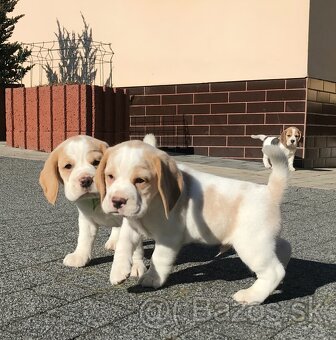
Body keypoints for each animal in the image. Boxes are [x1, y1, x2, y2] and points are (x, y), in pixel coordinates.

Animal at [39, 133, 155, 276]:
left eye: (96, 162)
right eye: (68, 166)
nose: (86, 180)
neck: (96, 199)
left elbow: (135, 247)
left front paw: (136, 265)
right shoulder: (86, 219)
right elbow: (84, 239)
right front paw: (79, 256)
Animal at [94, 139, 292, 304]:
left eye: (140, 180)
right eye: (110, 176)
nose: (117, 201)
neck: (149, 206)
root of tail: (270, 192)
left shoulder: (168, 237)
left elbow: (158, 258)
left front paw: (152, 278)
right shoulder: (132, 225)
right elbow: (123, 244)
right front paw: (118, 271)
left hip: (251, 244)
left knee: (274, 271)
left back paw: (252, 295)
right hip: (264, 240)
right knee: (285, 247)